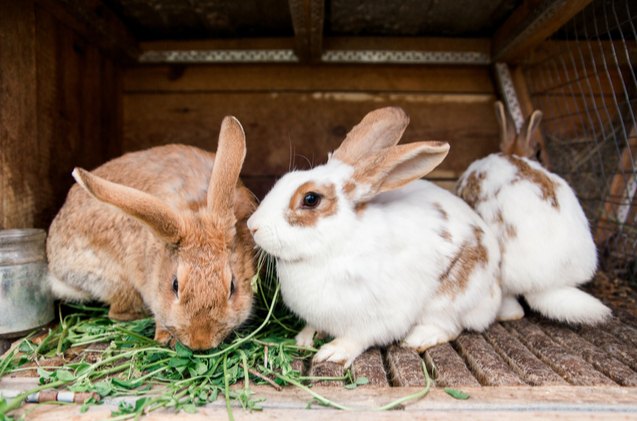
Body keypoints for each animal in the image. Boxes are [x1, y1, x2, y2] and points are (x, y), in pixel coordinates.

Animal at [248, 106, 502, 366]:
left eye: (311, 199)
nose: (252, 226)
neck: (334, 245)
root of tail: (495, 292)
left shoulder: (378, 318)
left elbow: (357, 338)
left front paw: (333, 353)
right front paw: (305, 338)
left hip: (450, 298)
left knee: (449, 326)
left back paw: (417, 339)